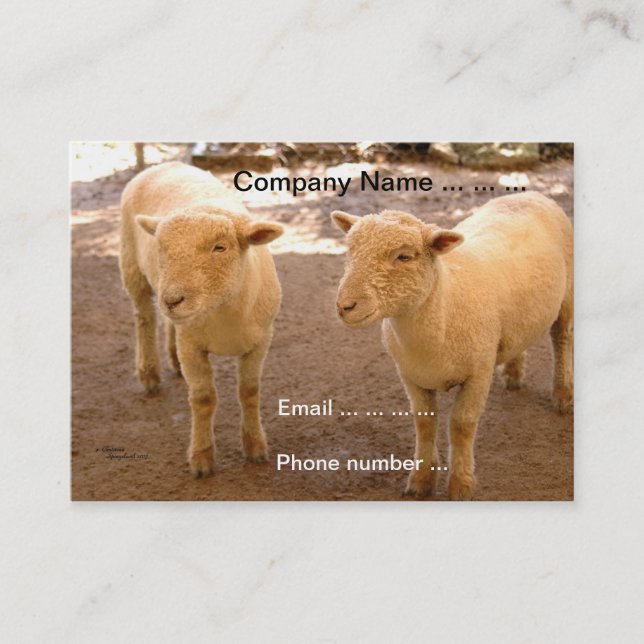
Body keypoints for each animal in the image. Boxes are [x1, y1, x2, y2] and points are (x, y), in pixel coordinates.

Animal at [119, 162, 283, 477]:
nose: (172, 300)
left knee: (167, 323)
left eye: (220, 247)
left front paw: (255, 447)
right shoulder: (192, 346)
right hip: (131, 265)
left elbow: (249, 392)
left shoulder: (260, 341)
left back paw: (172, 359)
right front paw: (202, 458)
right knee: (144, 317)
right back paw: (149, 373)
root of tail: (163, 165)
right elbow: (203, 398)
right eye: (161, 247)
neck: (222, 312)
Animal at [331, 192, 573, 500]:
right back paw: (514, 375)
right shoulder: (410, 375)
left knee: (562, 338)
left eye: (404, 256)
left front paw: (461, 484)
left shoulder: (479, 373)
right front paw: (421, 480)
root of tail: (532, 194)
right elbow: (424, 423)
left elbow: (461, 425)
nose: (345, 306)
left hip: (567, 296)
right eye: (350, 251)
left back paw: (563, 395)